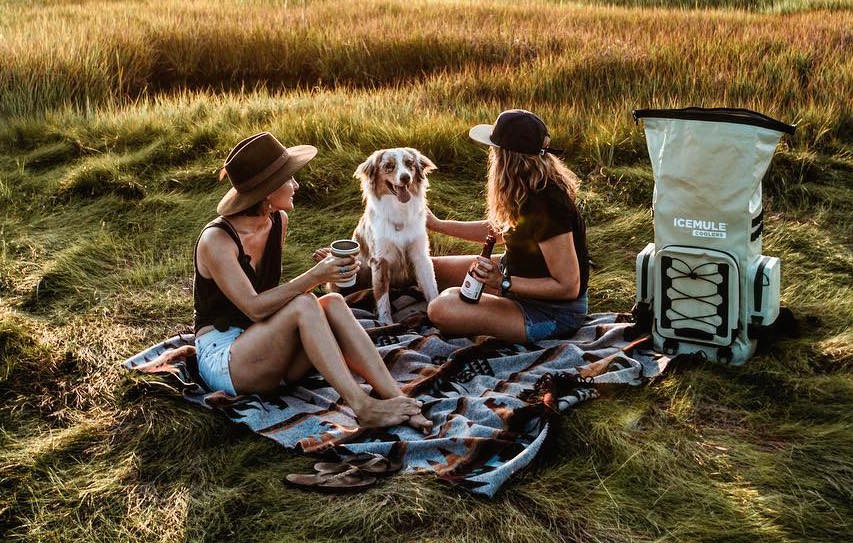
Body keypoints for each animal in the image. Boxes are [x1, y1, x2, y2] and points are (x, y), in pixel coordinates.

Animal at [346, 147, 440, 326]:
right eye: (389, 166)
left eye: (409, 164)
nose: (405, 177)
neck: (399, 212)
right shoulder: (380, 260)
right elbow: (383, 297)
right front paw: (386, 323)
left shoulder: (420, 255)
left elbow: (431, 287)